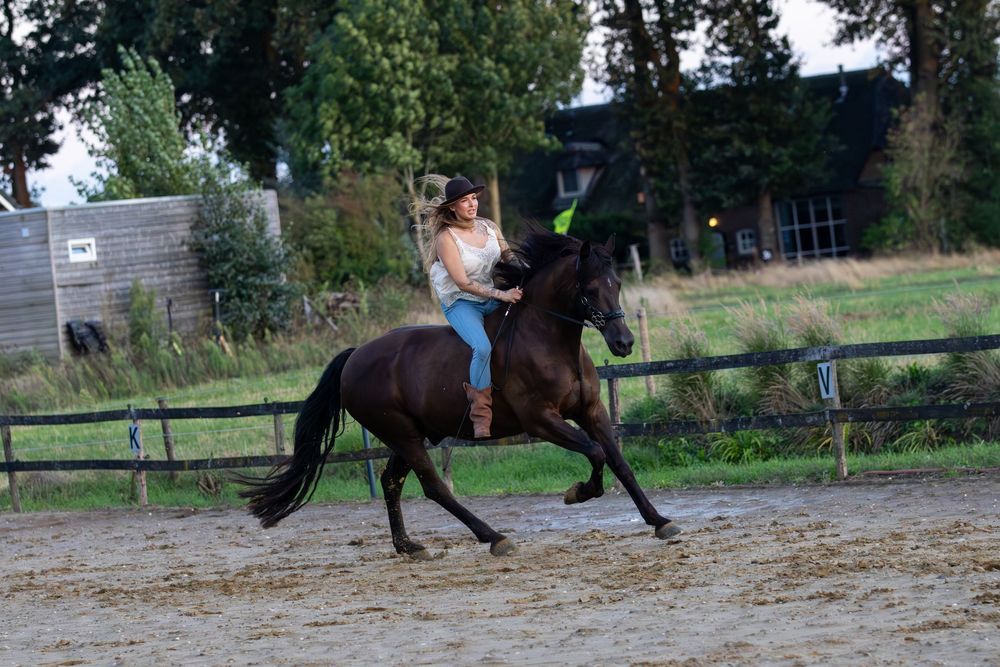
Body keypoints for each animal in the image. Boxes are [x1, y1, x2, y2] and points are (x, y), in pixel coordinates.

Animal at [240, 226, 681, 558]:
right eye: (588, 286)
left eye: (617, 283)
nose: (624, 342)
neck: (550, 339)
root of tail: (355, 356)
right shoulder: (541, 420)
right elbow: (594, 454)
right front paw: (578, 493)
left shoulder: (591, 411)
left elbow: (619, 461)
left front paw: (660, 521)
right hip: (401, 433)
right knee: (433, 485)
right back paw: (494, 538)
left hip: (409, 434)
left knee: (391, 481)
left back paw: (409, 547)